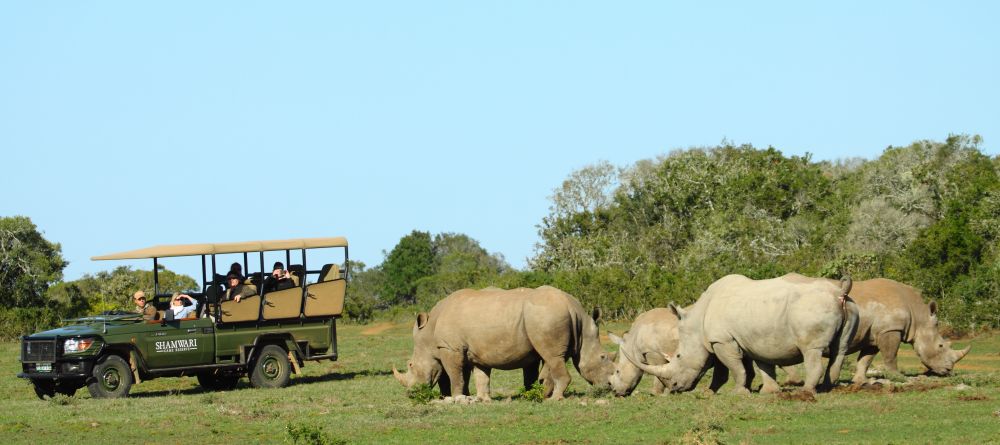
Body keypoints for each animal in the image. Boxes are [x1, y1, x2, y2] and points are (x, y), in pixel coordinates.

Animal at [392, 286, 615, 401]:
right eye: (604, 358)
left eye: (410, 365)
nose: (610, 386)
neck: (428, 334)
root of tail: (572, 306)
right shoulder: (474, 352)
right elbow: (480, 376)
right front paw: (481, 400)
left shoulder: (450, 348)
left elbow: (456, 375)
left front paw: (458, 399)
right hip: (544, 317)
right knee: (551, 359)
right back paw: (540, 395)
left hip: (545, 315)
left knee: (552, 358)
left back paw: (553, 399)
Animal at [625, 274, 858, 394]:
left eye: (679, 356)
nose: (673, 388)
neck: (697, 322)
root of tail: (839, 291)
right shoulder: (747, 339)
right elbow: (760, 365)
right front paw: (768, 392)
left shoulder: (721, 340)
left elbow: (734, 368)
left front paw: (736, 392)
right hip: (850, 308)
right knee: (840, 349)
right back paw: (827, 388)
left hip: (810, 309)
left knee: (811, 350)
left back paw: (807, 392)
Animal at [782, 278, 970, 384]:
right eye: (940, 346)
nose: (948, 371)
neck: (918, 315)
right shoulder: (890, 329)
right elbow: (890, 355)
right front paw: (899, 378)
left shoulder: (874, 334)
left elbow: (866, 359)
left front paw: (860, 381)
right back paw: (795, 381)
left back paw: (794, 380)